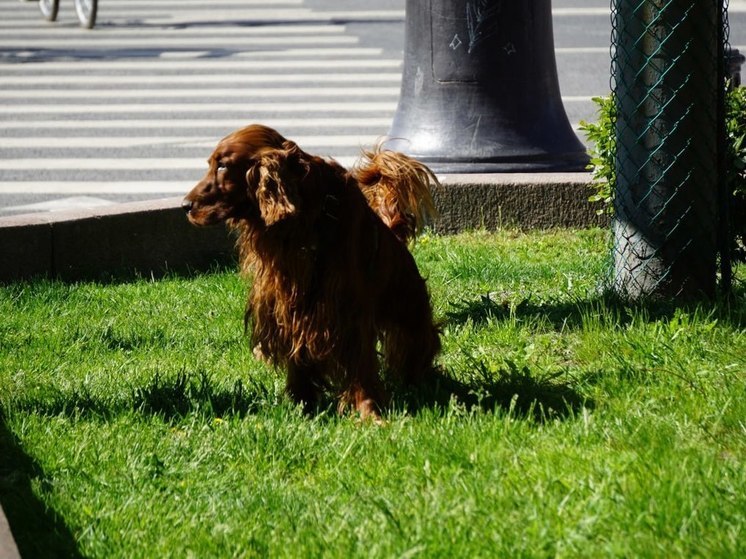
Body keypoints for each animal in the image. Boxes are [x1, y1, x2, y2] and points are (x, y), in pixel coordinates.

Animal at [182, 123, 438, 420]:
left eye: (222, 166)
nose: (185, 205)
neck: (302, 222)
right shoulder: (289, 304)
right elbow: (299, 355)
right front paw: (300, 405)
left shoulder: (347, 307)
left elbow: (360, 361)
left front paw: (369, 411)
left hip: (408, 308)